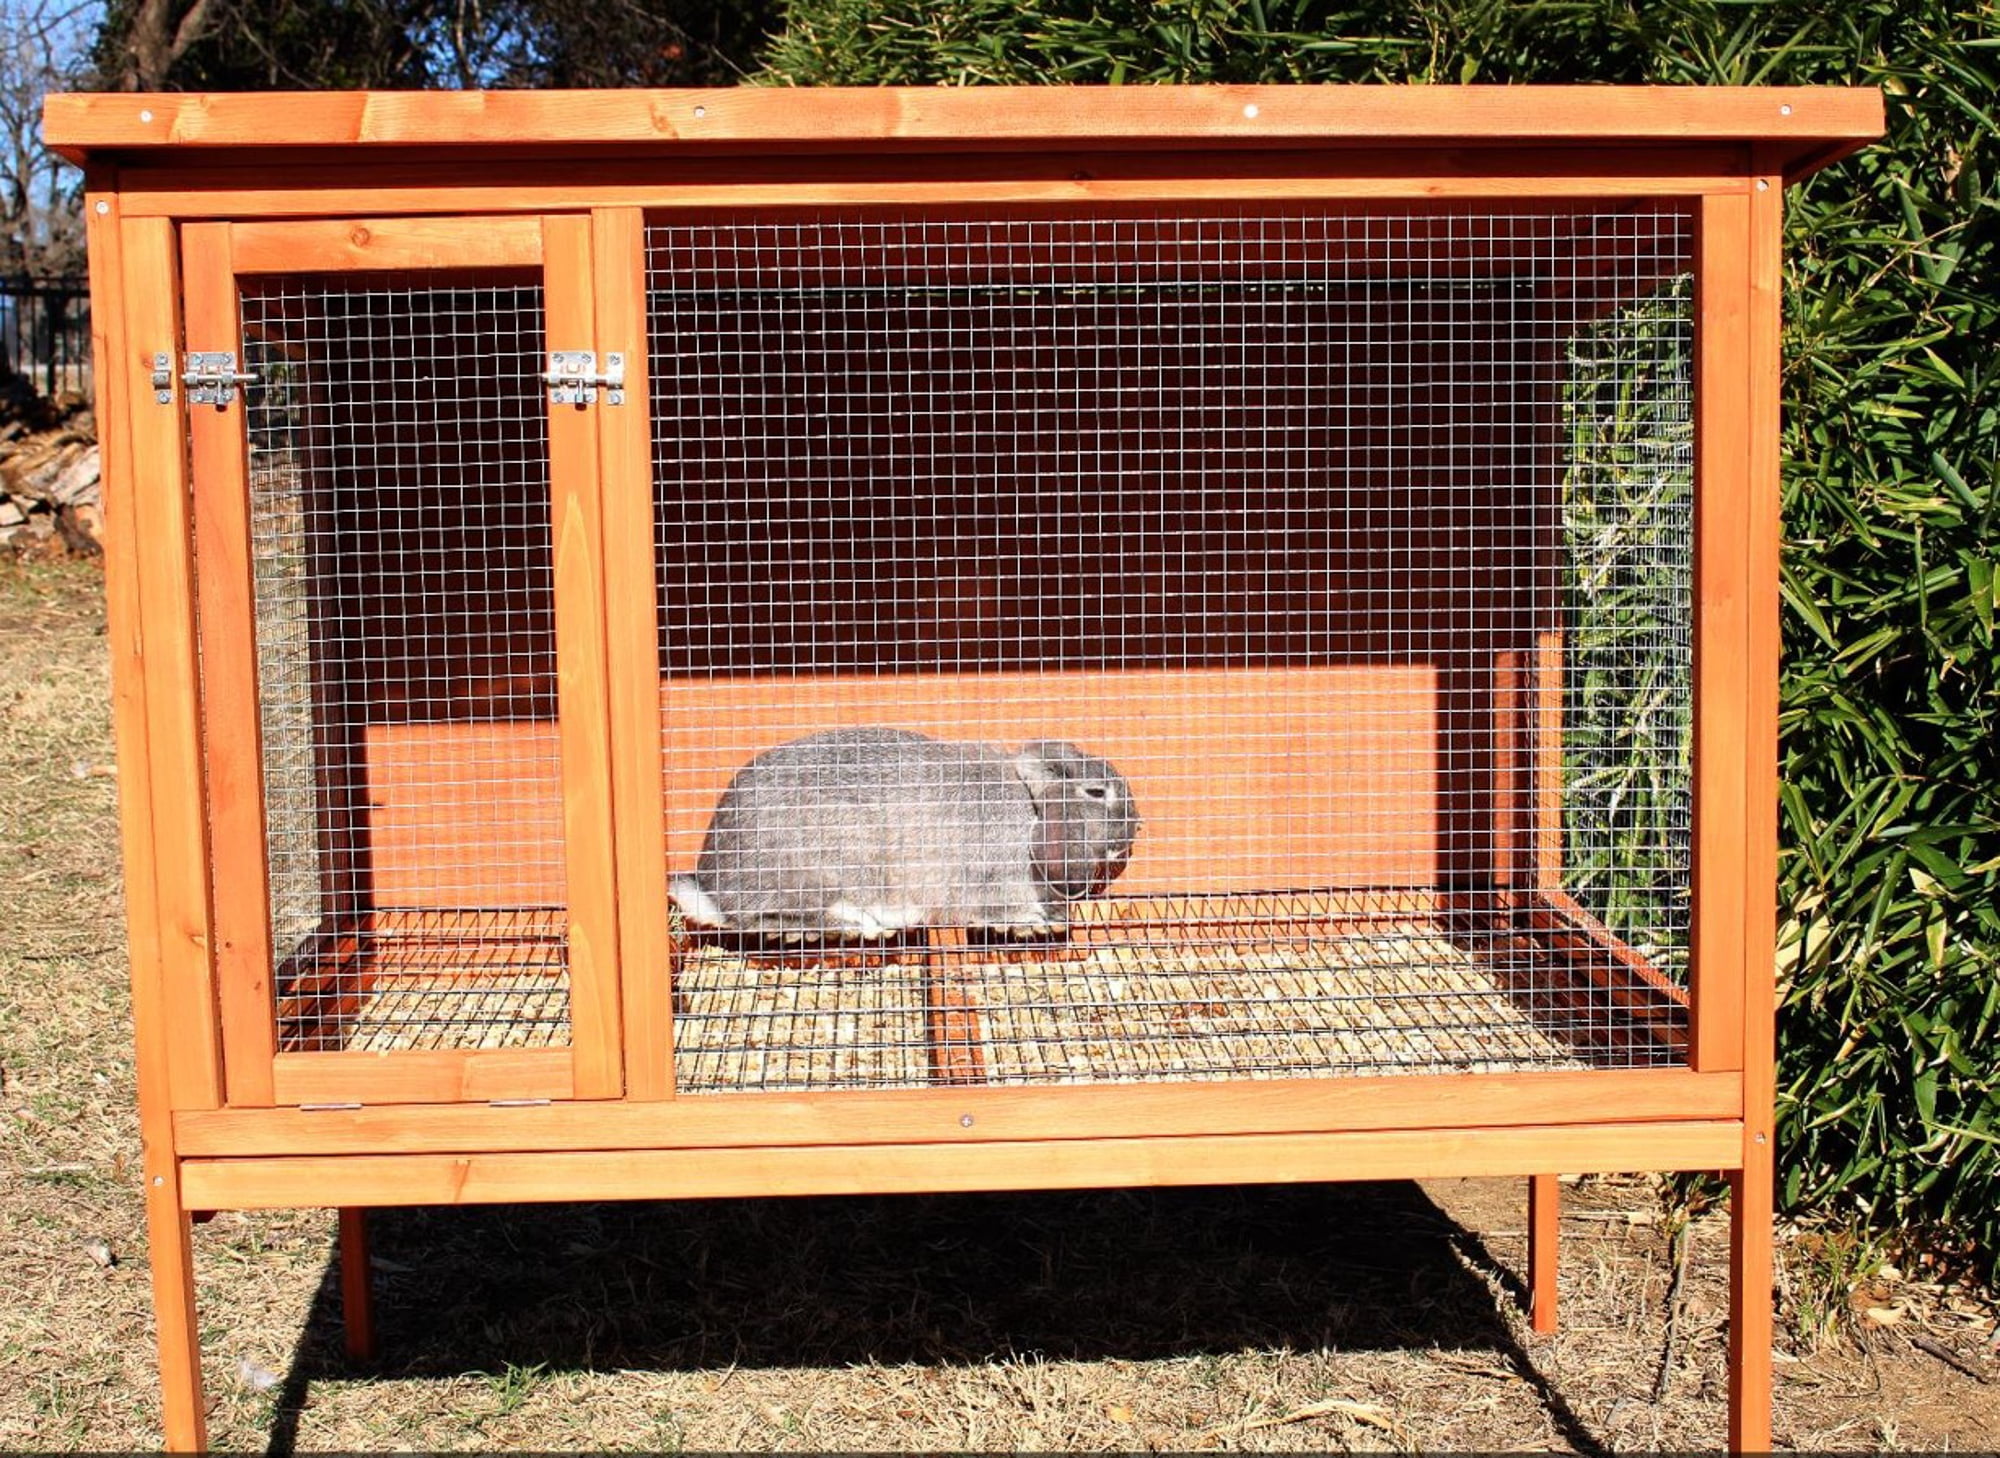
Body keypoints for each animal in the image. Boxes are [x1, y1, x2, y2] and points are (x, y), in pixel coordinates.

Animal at [669, 726, 1140, 940]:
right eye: (1096, 792)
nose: (1132, 833)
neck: (1030, 808)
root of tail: (712, 888)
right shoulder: (995, 877)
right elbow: (999, 909)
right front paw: (1035, 923)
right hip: (820, 870)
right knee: (764, 917)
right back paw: (859, 924)